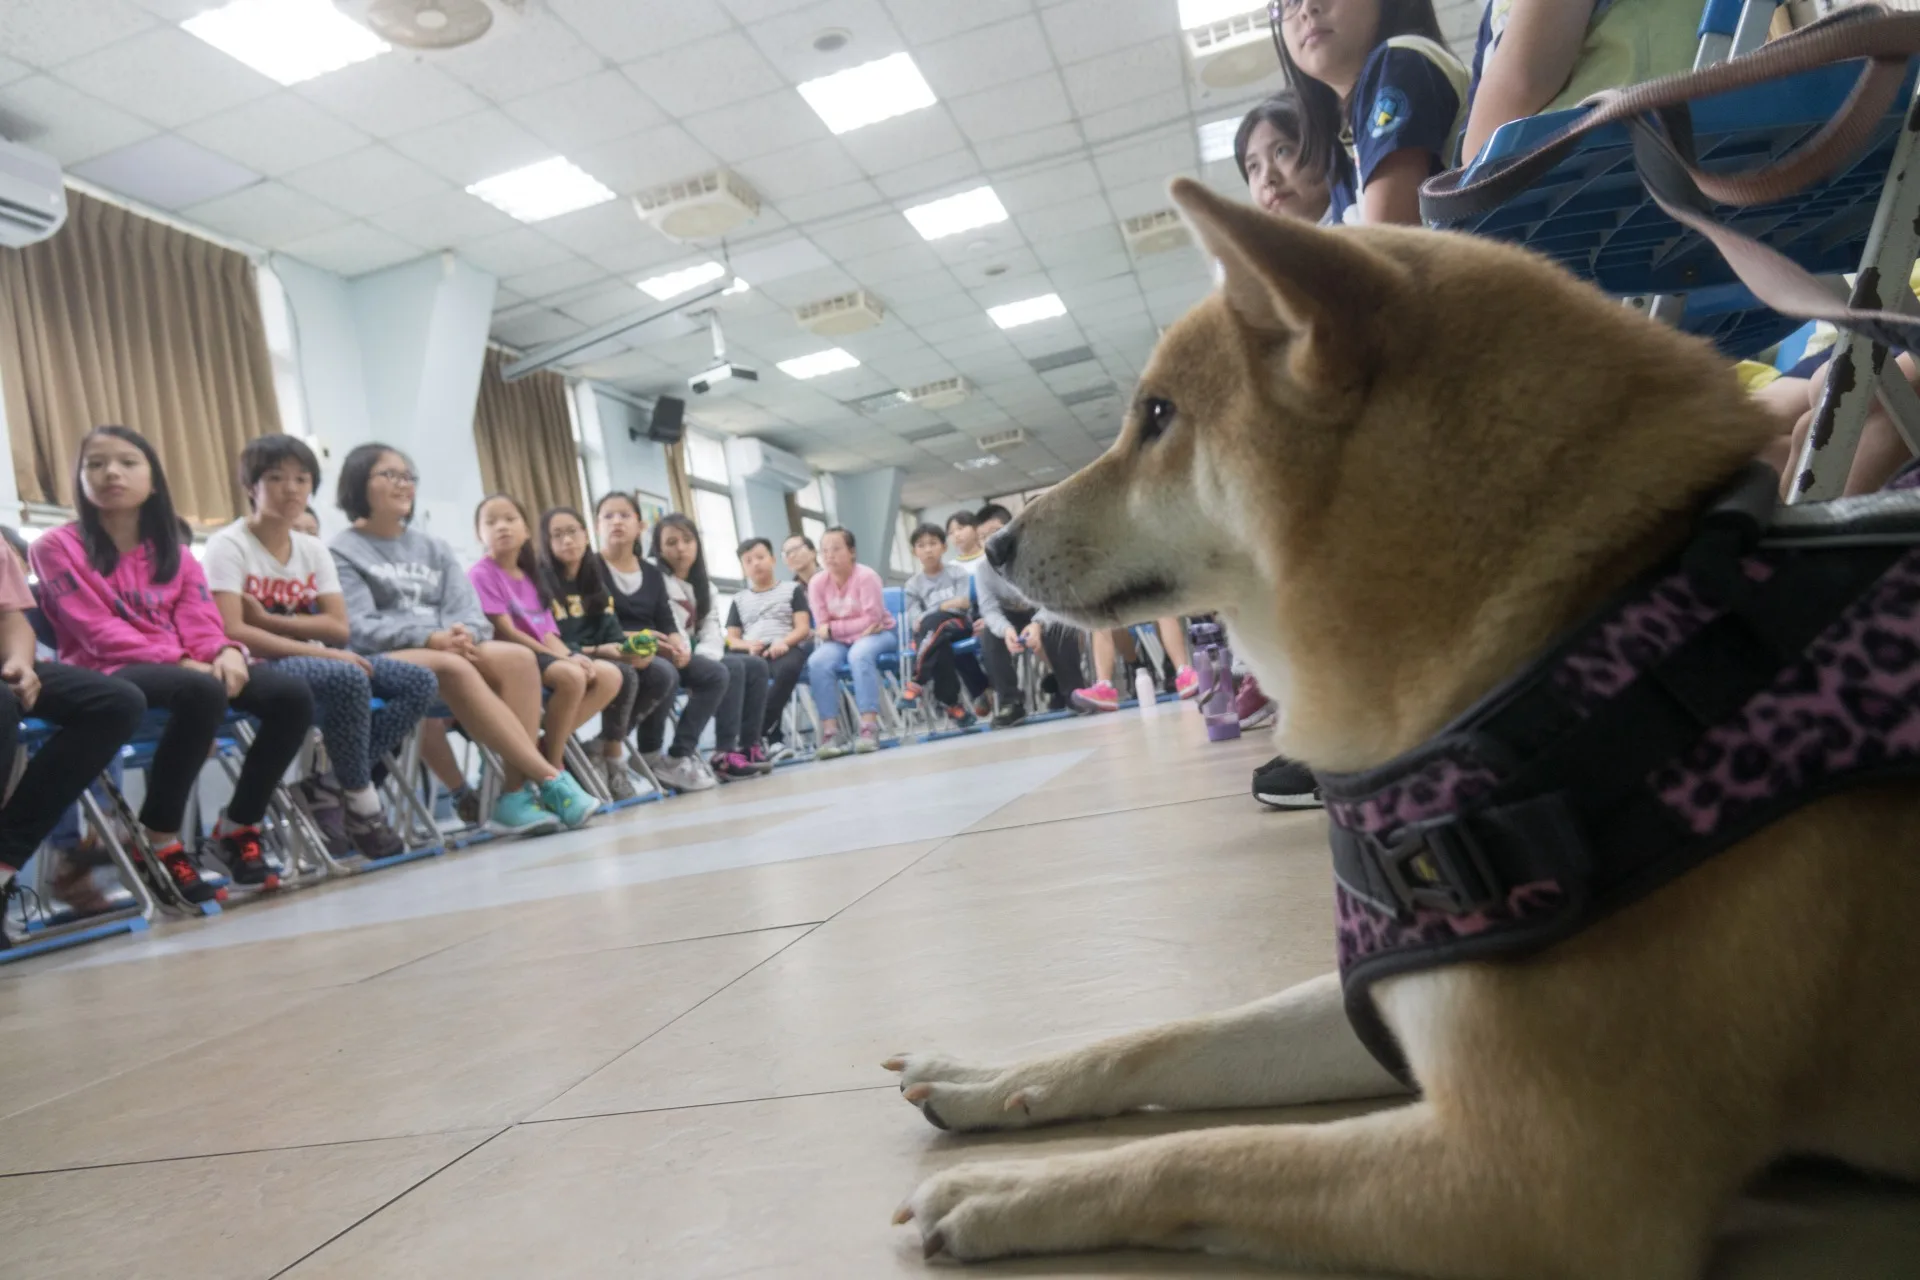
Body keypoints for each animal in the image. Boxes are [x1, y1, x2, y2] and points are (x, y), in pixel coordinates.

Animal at [883, 180, 1920, 1280]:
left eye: (1158, 417)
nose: (994, 544)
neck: (1579, 627)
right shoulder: (1383, 998)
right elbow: (1164, 1037)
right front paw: (994, 1077)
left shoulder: (1548, 1181)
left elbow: (1209, 1153)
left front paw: (1012, 1190)